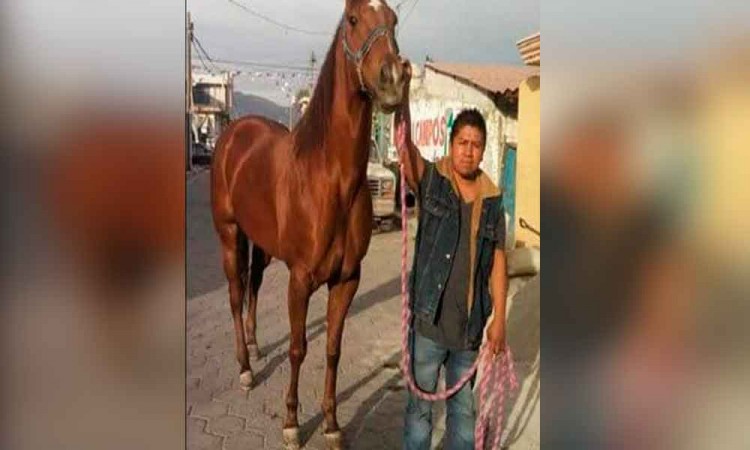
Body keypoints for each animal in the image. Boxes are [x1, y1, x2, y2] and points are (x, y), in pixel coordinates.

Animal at [210, 1, 409, 448]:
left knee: (252, 285)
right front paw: (291, 422)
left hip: (261, 245)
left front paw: (332, 425)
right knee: (235, 294)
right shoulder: (300, 279)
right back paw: (245, 367)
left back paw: (256, 346)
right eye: (353, 20)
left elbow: (332, 349)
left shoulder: (347, 279)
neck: (330, 180)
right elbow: (299, 348)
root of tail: (234, 132)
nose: (392, 79)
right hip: (230, 234)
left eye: (394, 20)